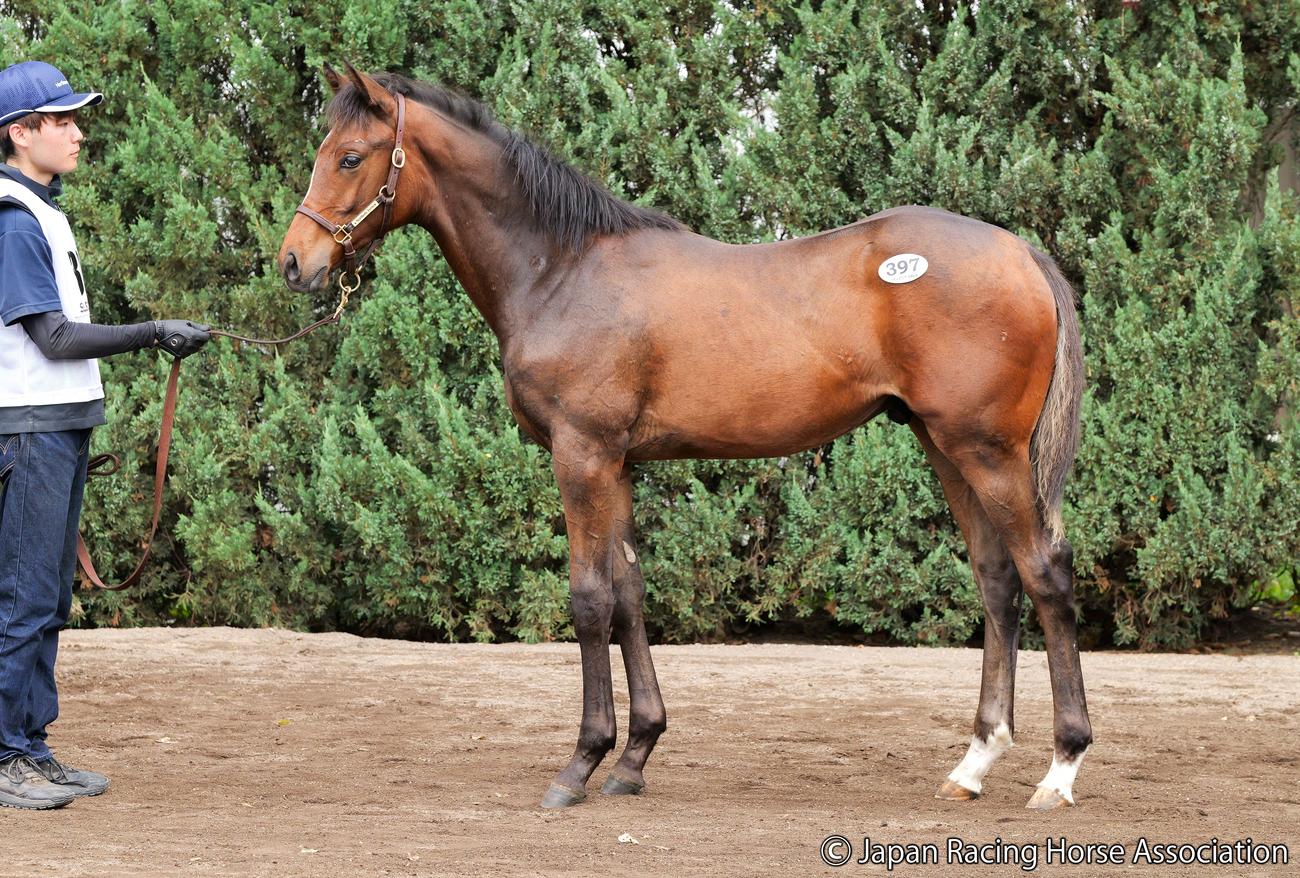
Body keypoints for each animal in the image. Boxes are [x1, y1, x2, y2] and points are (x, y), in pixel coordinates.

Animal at [278, 63, 1091, 812]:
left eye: (350, 156)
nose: (294, 263)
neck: (562, 270)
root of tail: (1020, 252)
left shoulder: (582, 456)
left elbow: (589, 600)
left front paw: (581, 764)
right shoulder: (618, 464)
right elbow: (630, 596)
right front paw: (634, 757)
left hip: (988, 453)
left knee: (1045, 573)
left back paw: (1060, 769)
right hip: (945, 448)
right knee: (997, 581)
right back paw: (974, 763)